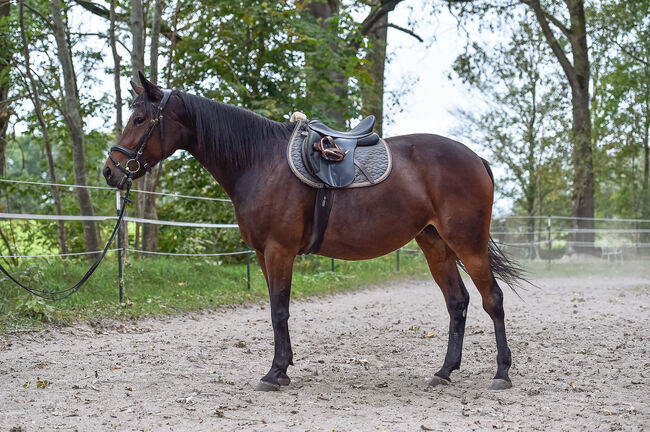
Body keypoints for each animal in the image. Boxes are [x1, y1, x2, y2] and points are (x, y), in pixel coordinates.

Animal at [104, 73, 524, 392]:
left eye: (139, 120)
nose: (111, 171)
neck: (260, 162)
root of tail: (474, 158)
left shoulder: (279, 250)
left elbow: (279, 310)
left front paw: (275, 373)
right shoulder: (263, 254)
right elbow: (276, 309)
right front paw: (283, 368)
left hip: (467, 244)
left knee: (493, 299)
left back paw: (502, 373)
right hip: (435, 244)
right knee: (457, 302)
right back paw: (444, 371)